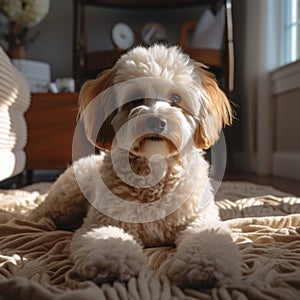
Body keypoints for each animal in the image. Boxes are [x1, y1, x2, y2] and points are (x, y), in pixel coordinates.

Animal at [31, 44, 241, 288]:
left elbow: (207, 237)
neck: (154, 168)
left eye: (176, 97)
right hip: (66, 198)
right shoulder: (102, 221)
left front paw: (207, 266)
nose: (157, 121)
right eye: (136, 98)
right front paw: (113, 262)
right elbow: (106, 237)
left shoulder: (200, 218)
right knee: (40, 211)